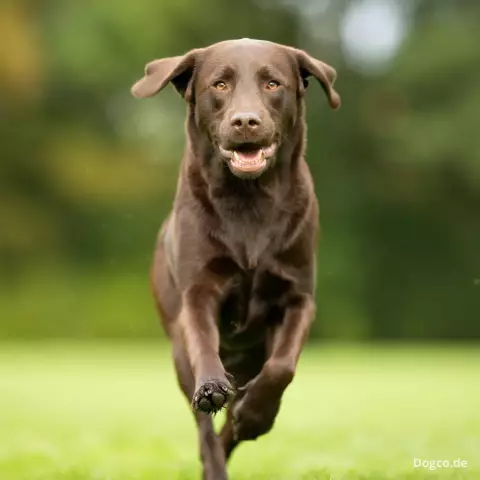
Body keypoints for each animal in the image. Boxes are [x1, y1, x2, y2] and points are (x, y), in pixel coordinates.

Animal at [131, 38, 340, 480]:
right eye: (220, 84)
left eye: (273, 83)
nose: (246, 121)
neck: (249, 201)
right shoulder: (198, 293)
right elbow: (204, 347)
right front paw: (214, 387)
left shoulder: (297, 298)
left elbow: (282, 368)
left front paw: (255, 415)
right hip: (178, 353)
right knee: (205, 430)